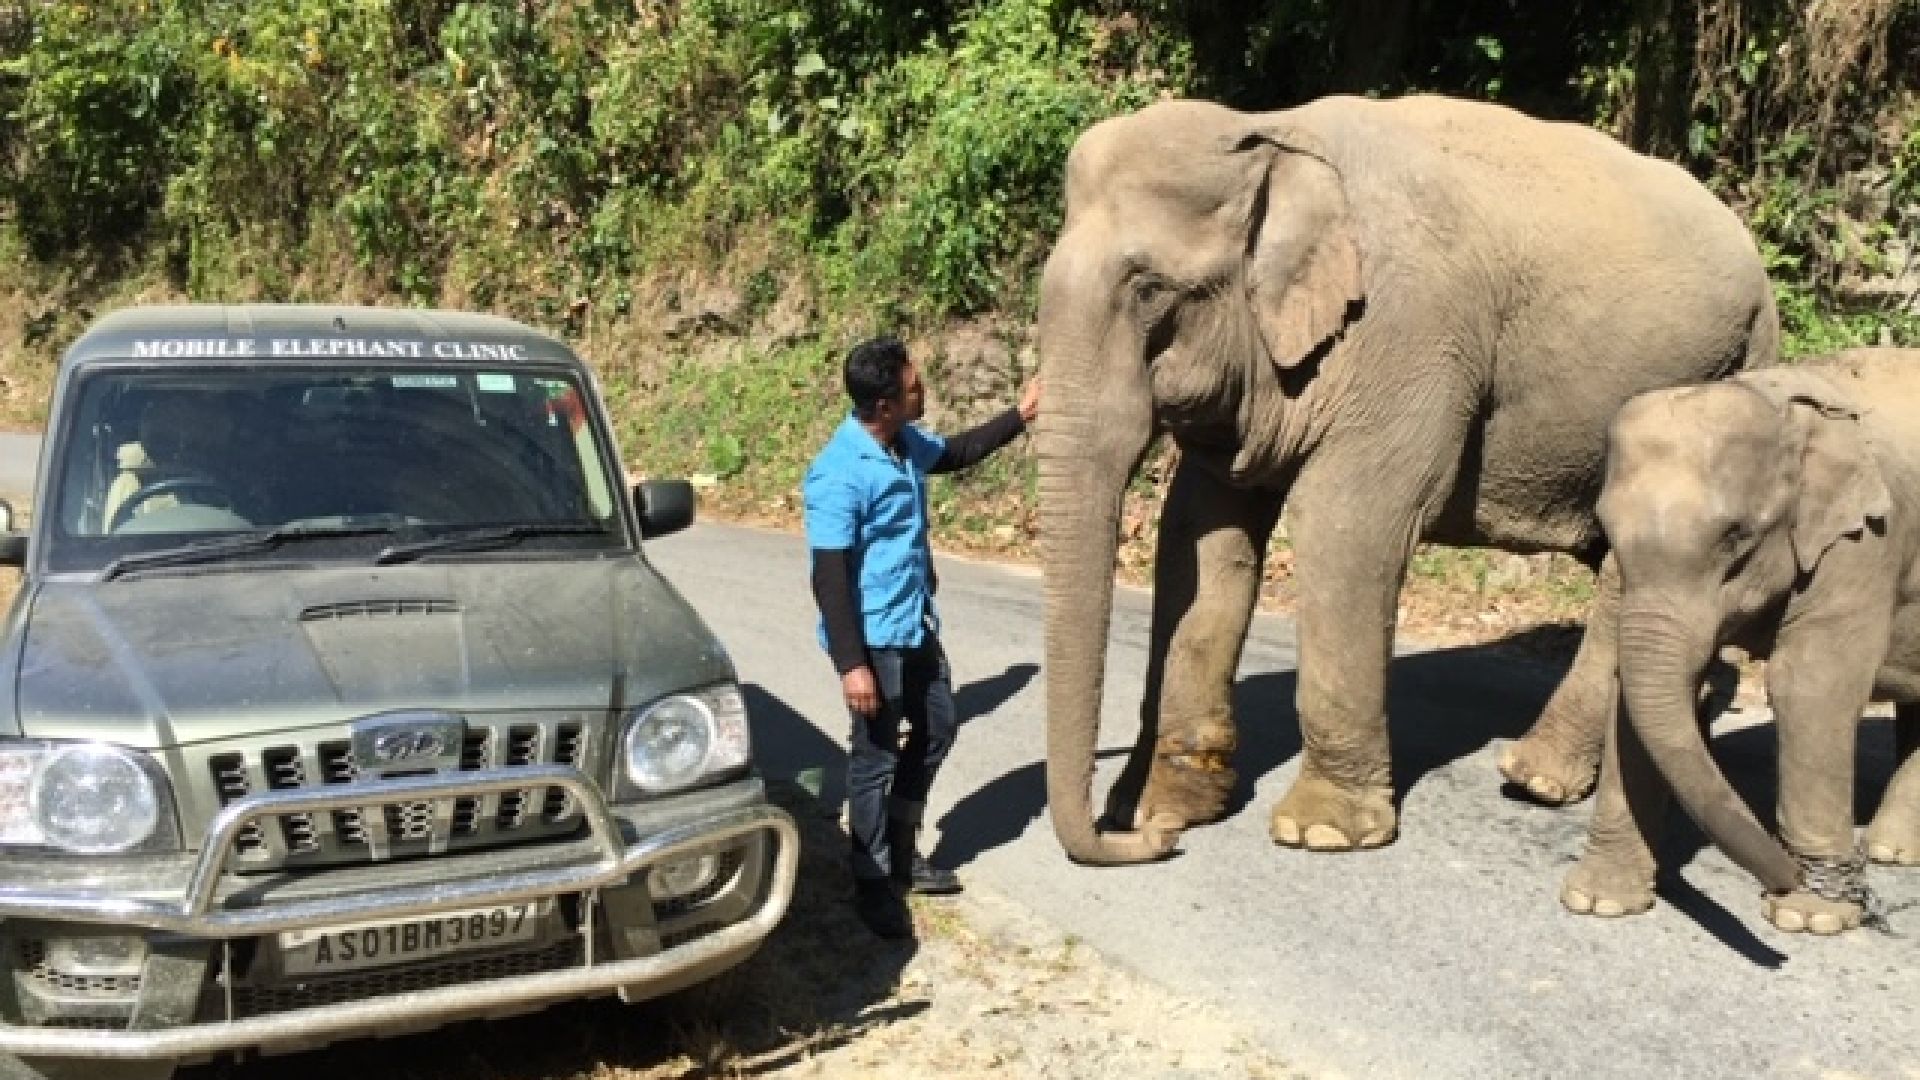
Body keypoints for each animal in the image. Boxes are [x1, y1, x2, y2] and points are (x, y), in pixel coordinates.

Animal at [1044, 96, 1774, 860]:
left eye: (1149, 290)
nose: (1144, 840)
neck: (1273, 130)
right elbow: (1205, 526)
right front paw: (1172, 808)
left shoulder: (1406, 334)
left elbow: (1347, 523)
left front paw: (1320, 832)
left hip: (1719, 374)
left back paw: (1537, 778)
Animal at [1559, 349, 1920, 930]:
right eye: (1607, 532)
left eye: (1736, 537)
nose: (1786, 877)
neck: (1780, 406)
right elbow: (1638, 691)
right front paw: (1601, 901)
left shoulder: (1867, 542)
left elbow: (1809, 685)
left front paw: (1810, 916)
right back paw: (1893, 851)